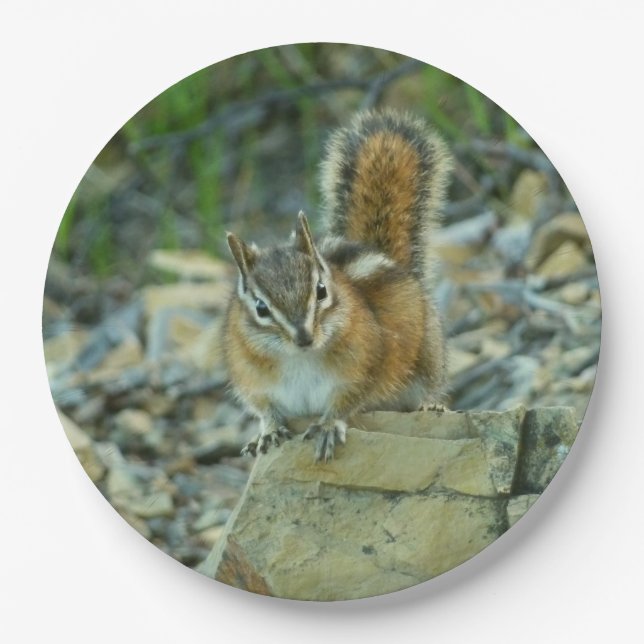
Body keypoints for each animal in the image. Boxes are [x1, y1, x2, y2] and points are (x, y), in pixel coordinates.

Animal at [222, 109, 452, 462]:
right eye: (260, 307)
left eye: (321, 291)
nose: (304, 337)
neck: (299, 359)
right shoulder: (253, 380)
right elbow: (265, 409)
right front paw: (268, 431)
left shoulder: (363, 367)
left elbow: (347, 401)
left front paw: (329, 425)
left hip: (428, 356)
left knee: (429, 387)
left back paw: (431, 405)